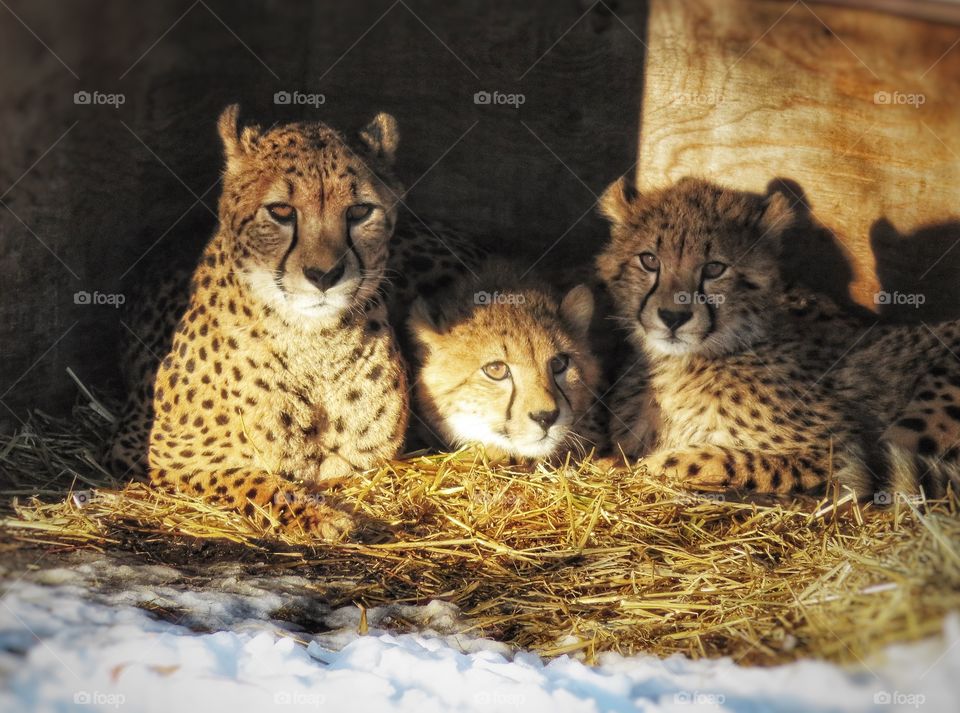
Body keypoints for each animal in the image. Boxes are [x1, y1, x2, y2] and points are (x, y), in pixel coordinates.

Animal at [110, 105, 414, 536]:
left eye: (359, 211)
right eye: (281, 211)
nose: (325, 275)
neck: (315, 344)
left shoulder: (362, 463)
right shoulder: (156, 451)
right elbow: (255, 482)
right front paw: (323, 517)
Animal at [600, 177, 960, 498]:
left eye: (714, 268)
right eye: (649, 260)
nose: (673, 317)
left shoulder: (840, 449)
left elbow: (732, 460)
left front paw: (662, 462)